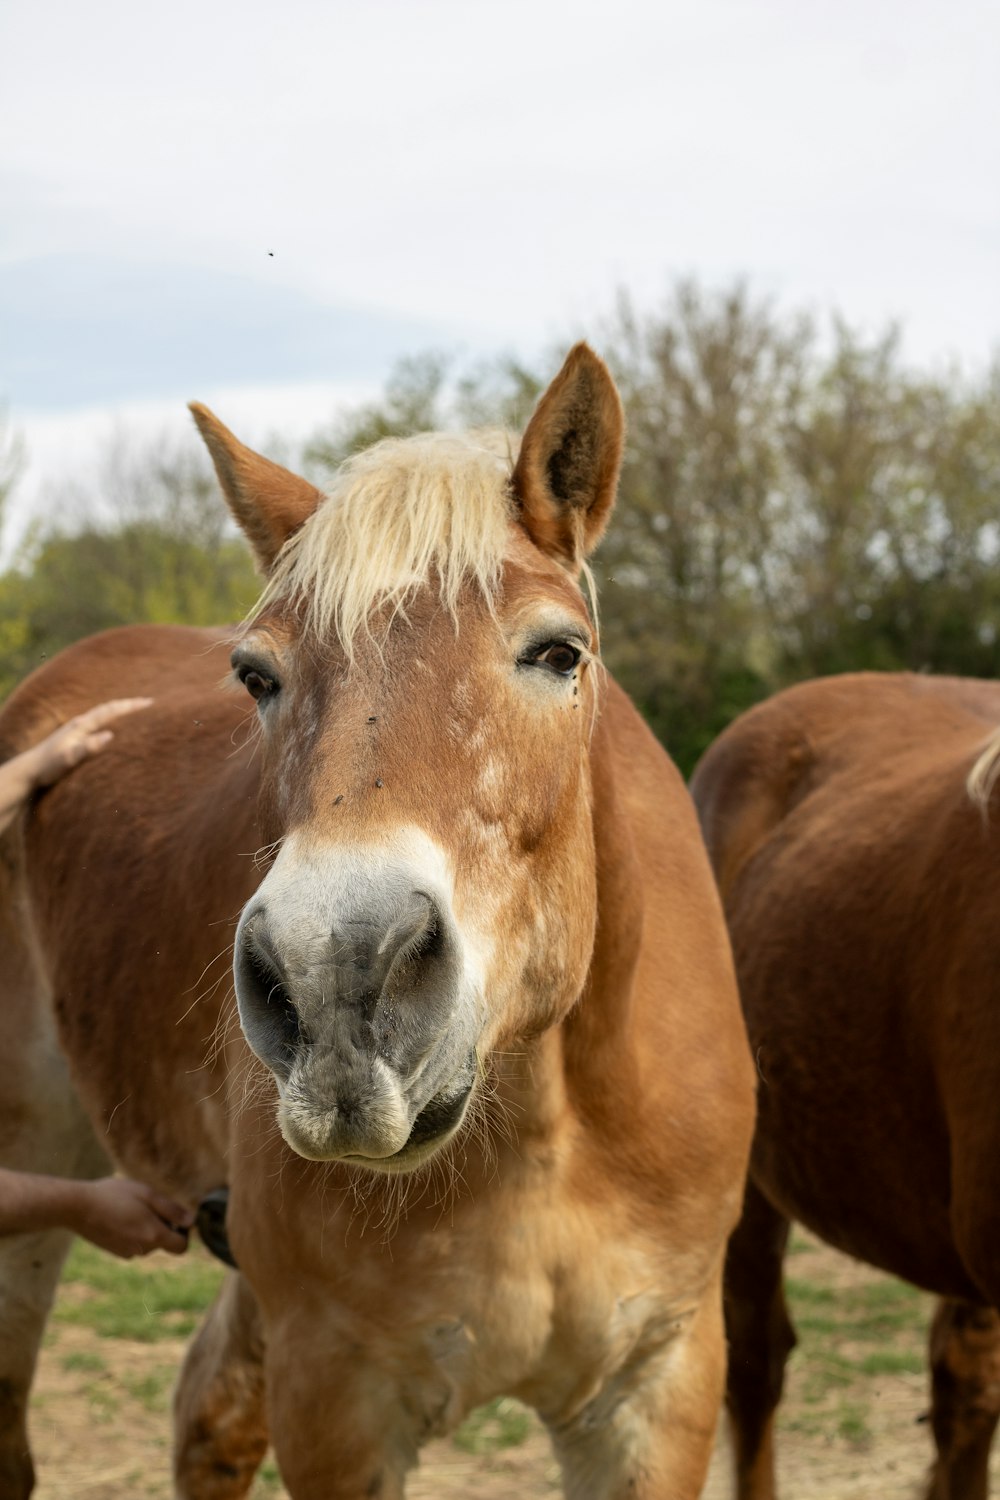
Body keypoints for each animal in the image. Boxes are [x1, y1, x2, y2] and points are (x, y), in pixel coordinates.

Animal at [0, 345, 755, 1494]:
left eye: (558, 653)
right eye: (255, 675)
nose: (337, 979)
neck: (543, 1135)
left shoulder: (655, 1391)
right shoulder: (336, 1398)